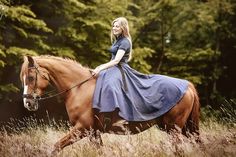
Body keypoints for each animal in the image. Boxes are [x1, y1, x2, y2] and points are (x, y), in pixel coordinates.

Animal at [20, 55, 200, 154]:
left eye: (30, 77)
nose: (28, 103)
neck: (79, 87)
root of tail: (188, 85)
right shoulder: (93, 132)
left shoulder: (82, 129)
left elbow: (55, 146)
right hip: (179, 129)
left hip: (174, 129)